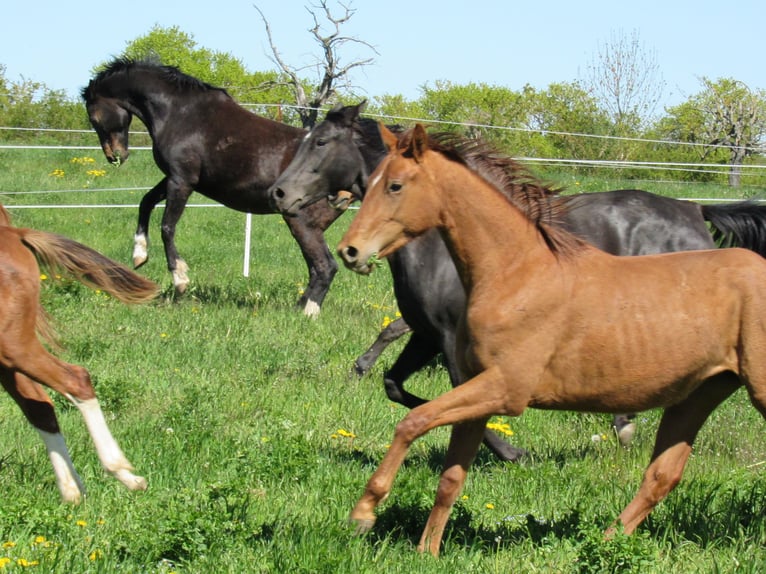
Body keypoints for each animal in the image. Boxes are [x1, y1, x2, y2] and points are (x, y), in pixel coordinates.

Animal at [0, 204, 159, 502]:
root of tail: (13, 233)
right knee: (40, 407)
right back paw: (74, 492)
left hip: (12, 346)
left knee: (75, 380)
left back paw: (121, 473)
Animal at [81, 58, 344, 317]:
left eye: (93, 118)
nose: (115, 156)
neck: (179, 113)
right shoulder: (174, 178)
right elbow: (145, 202)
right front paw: (139, 255)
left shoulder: (181, 180)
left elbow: (167, 227)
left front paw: (180, 279)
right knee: (316, 269)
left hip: (302, 224)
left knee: (326, 267)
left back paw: (306, 313)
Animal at [268, 102, 766, 459]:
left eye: (321, 141)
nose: (278, 193)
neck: (441, 244)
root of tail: (695, 210)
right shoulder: (428, 334)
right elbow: (395, 384)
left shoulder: (454, 340)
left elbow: (458, 394)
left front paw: (511, 452)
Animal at [337, 123, 766, 556]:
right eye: (370, 181)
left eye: (394, 185)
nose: (349, 251)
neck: (515, 274)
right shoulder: (477, 388)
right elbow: (451, 478)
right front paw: (427, 551)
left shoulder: (507, 389)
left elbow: (414, 421)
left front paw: (363, 514)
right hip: (700, 393)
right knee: (663, 475)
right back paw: (603, 544)